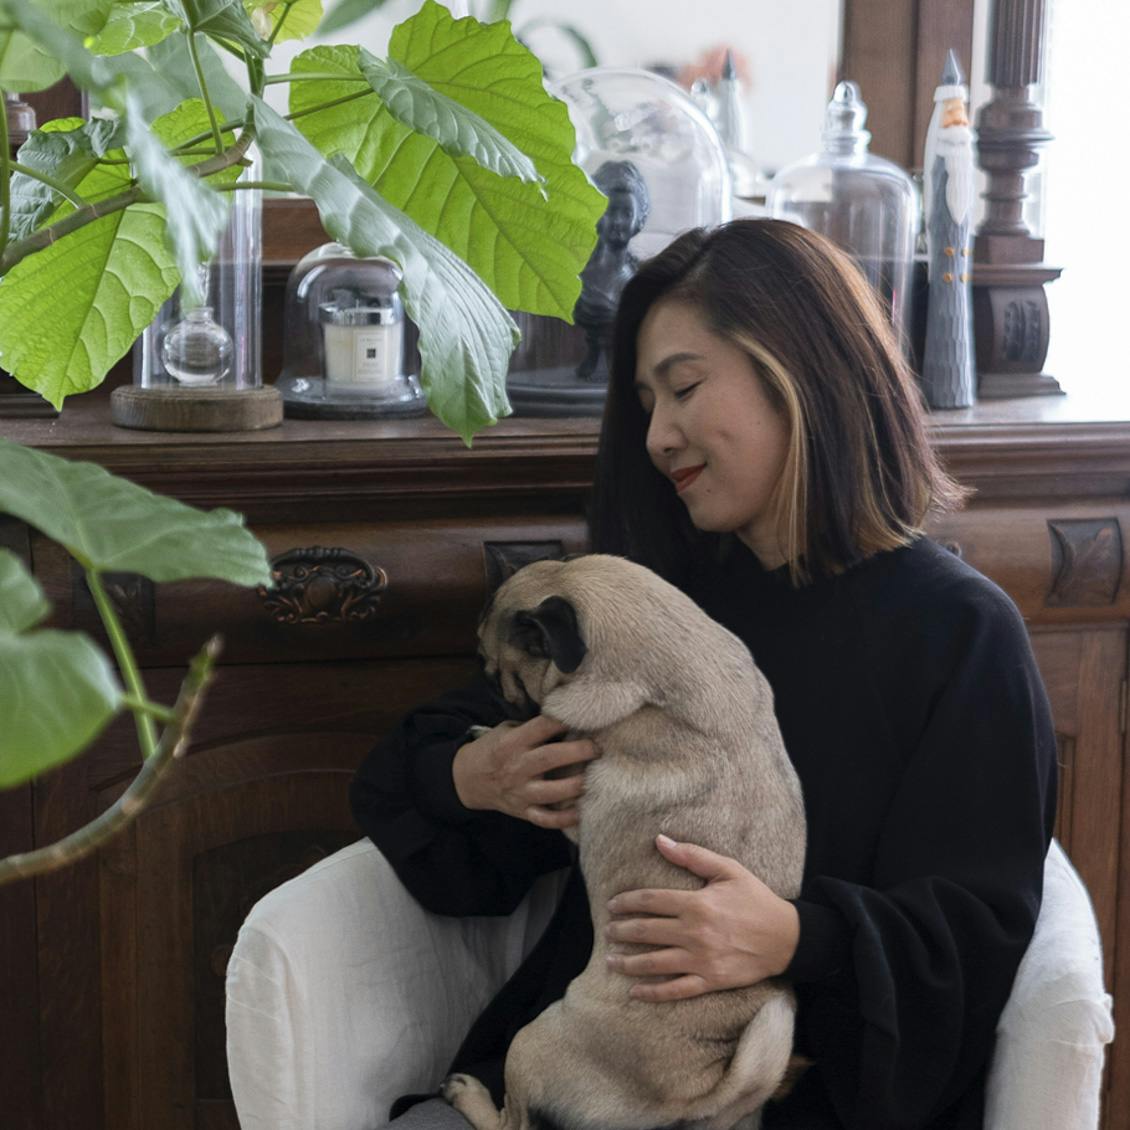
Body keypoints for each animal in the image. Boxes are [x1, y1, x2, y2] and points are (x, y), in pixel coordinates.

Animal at [438, 553, 804, 1130]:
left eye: (493, 668)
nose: (490, 691)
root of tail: (698, 1093)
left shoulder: (566, 802)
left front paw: (485, 732)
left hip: (532, 1041)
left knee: (514, 1122)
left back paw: (468, 1094)